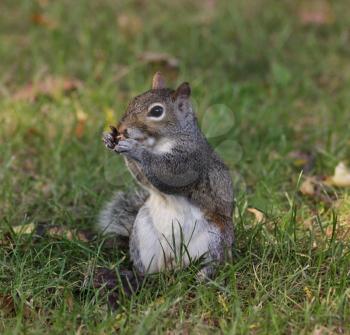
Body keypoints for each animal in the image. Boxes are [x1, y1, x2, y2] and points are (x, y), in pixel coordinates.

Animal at [98, 73, 234, 280]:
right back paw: (139, 276)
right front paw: (108, 137)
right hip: (142, 234)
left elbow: (167, 173)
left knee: (216, 261)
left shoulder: (189, 161)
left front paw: (134, 148)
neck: (157, 143)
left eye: (156, 111)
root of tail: (174, 264)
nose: (122, 129)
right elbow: (143, 178)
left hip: (215, 238)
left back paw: (203, 275)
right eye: (133, 100)